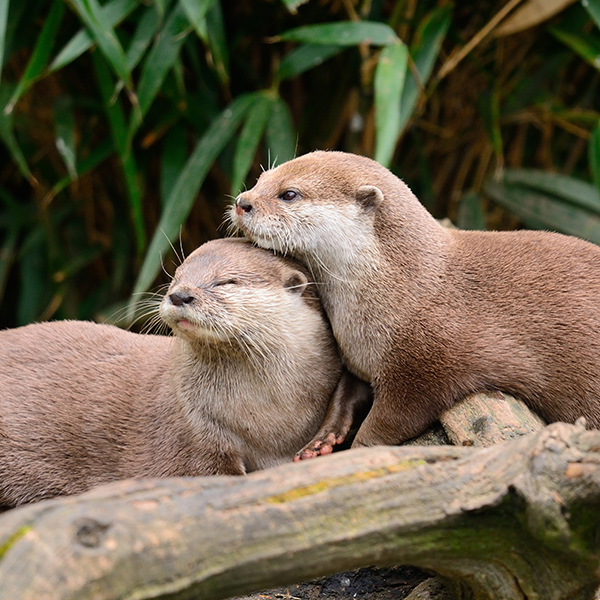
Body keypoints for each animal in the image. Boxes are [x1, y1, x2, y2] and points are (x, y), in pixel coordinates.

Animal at [230, 152, 600, 448]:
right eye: (261, 179)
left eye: (289, 194)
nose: (242, 201)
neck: (405, 290)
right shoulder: (358, 356)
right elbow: (344, 393)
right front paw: (323, 438)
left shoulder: (427, 365)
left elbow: (395, 418)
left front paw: (356, 450)